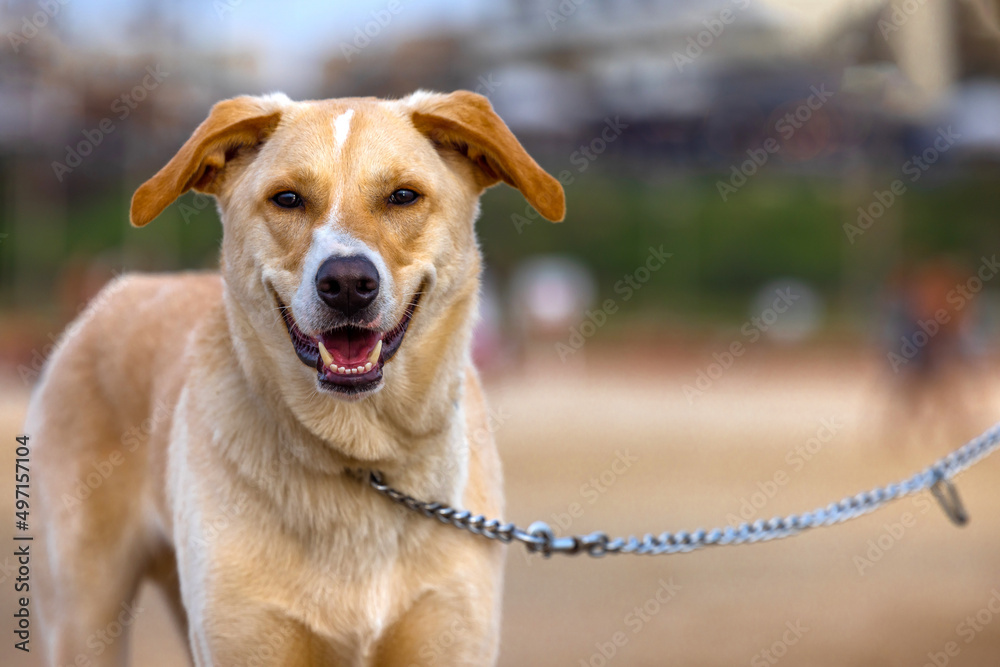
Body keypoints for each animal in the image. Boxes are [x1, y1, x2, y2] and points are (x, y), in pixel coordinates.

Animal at [25, 90, 564, 667]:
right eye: (287, 199)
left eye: (403, 196)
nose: (347, 283)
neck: (360, 456)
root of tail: (117, 291)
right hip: (85, 615)